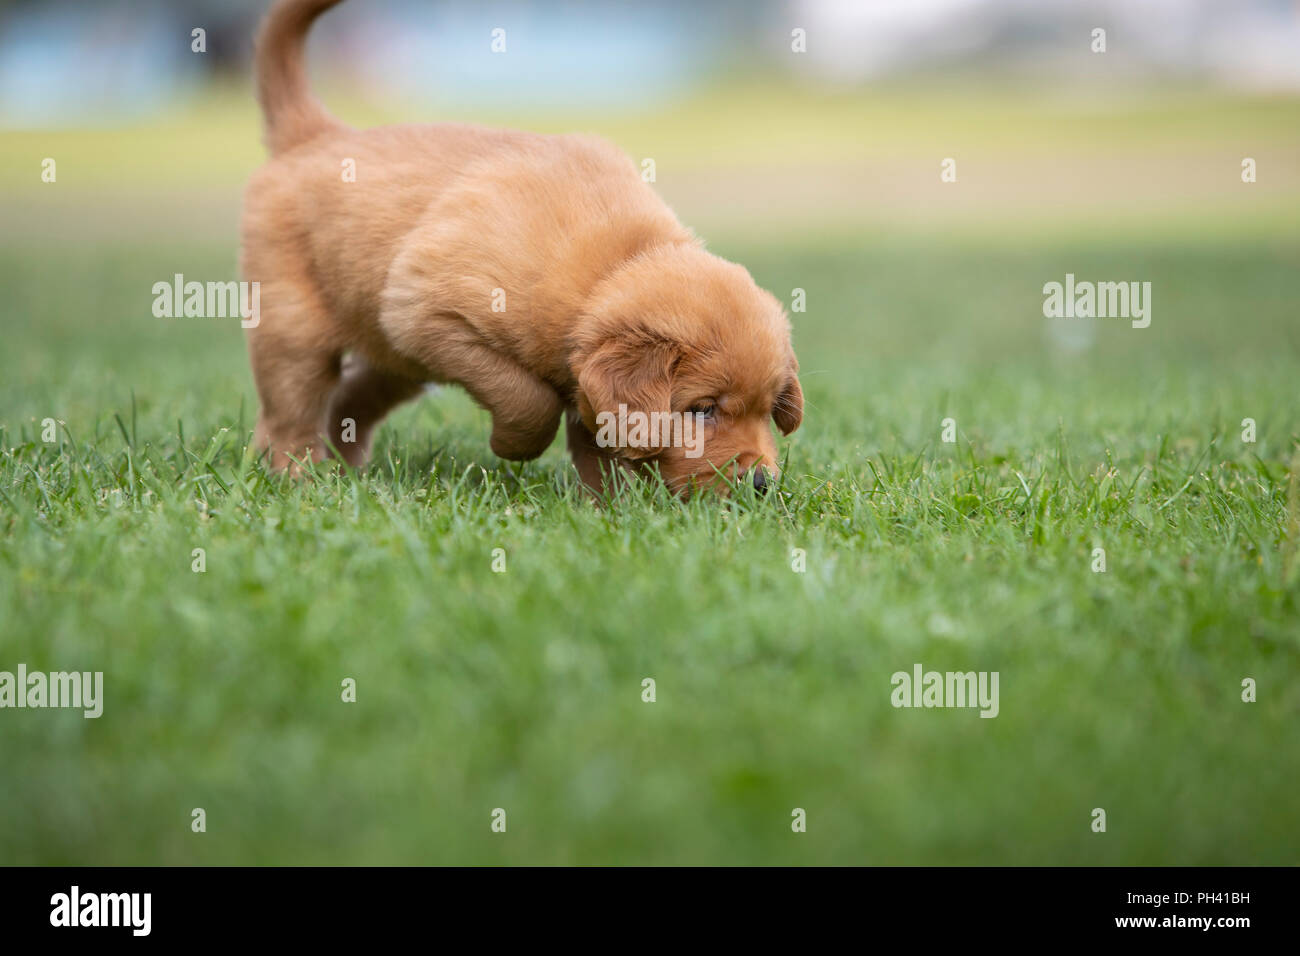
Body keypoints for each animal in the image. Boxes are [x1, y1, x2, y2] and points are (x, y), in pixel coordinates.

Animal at [239, 0, 795, 494]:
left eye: (768, 410)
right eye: (701, 409)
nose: (762, 484)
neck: (614, 264)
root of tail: (316, 135)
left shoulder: (581, 378)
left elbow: (599, 441)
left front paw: (614, 509)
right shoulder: (430, 316)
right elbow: (528, 399)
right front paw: (512, 446)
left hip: (391, 350)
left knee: (351, 400)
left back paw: (344, 469)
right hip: (298, 325)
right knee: (291, 409)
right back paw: (298, 475)